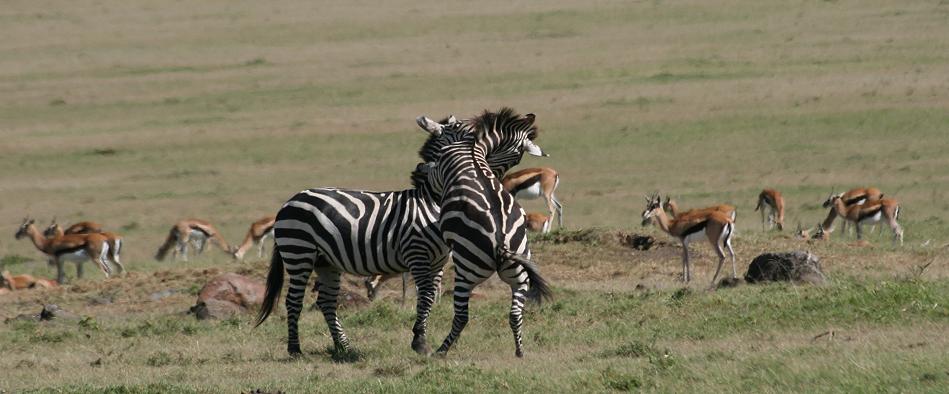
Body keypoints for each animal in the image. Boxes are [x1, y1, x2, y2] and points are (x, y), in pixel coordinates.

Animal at [256, 114, 528, 358]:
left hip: (326, 261)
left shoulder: (438, 261)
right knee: (293, 301)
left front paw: (419, 337)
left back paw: (344, 347)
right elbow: (425, 297)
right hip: (298, 252)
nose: (494, 126)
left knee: (327, 302)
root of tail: (290, 201)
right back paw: (295, 349)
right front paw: (420, 342)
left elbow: (430, 299)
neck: (431, 201)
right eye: (464, 128)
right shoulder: (417, 255)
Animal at [416, 107, 556, 358]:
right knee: (515, 314)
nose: (496, 174)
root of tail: (501, 243)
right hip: (519, 275)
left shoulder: (440, 172)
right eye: (516, 158)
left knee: (462, 317)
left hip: (466, 272)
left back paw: (441, 351)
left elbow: (432, 173)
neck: (470, 145)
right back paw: (520, 351)